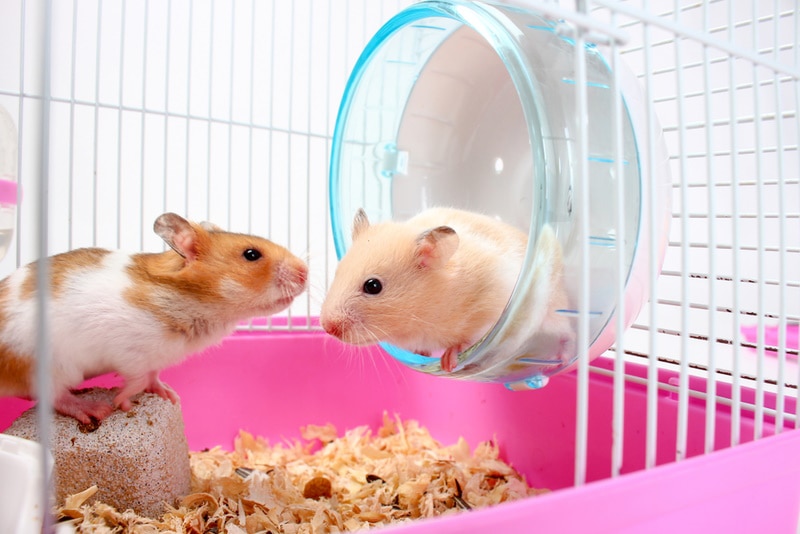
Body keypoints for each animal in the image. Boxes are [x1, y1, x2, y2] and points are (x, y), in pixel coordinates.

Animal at [0, 212, 308, 423]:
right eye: (251, 254)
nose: (306, 272)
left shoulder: (155, 359)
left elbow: (153, 376)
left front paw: (170, 395)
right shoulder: (130, 354)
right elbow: (135, 381)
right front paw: (121, 402)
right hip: (49, 366)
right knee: (54, 397)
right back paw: (94, 408)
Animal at [321, 207, 572, 372]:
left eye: (373, 286)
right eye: (338, 271)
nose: (327, 327)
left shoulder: (492, 307)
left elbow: (468, 339)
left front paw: (448, 363)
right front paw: (422, 356)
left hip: (553, 310)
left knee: (568, 333)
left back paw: (561, 360)